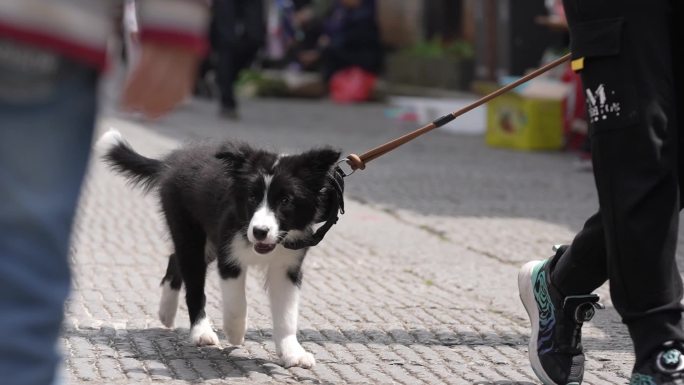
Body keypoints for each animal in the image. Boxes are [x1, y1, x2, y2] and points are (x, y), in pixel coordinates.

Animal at [97, 130, 340, 368]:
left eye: (286, 200)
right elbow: (237, 303)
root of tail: (173, 162)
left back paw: (166, 312)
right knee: (193, 284)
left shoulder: (287, 266)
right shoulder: (229, 256)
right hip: (189, 231)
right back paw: (201, 332)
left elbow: (287, 313)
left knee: (175, 258)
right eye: (252, 197)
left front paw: (292, 353)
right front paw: (235, 333)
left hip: (207, 243)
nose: (260, 232)